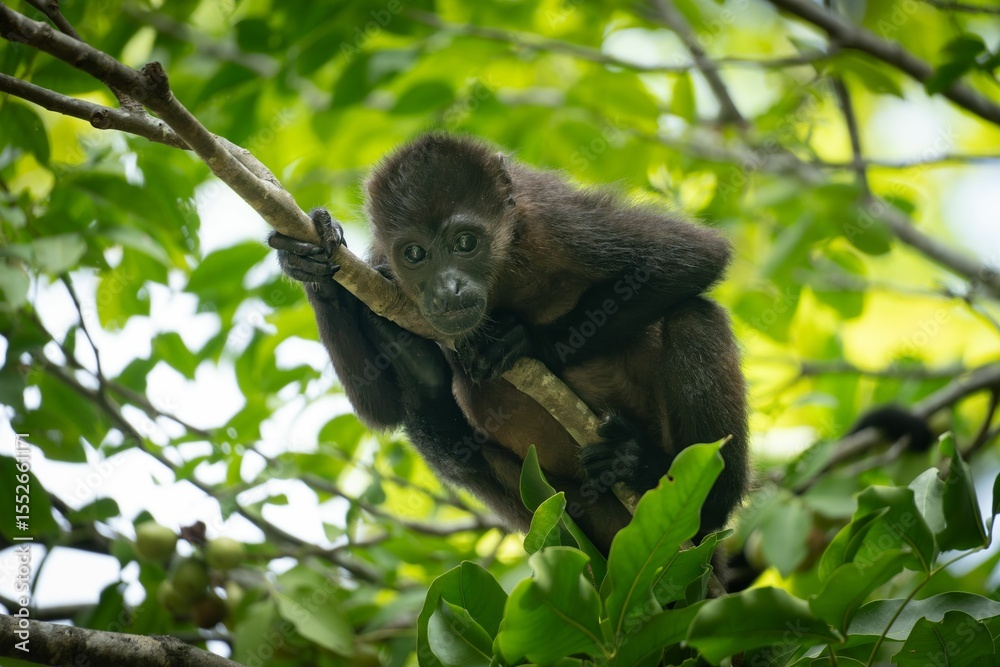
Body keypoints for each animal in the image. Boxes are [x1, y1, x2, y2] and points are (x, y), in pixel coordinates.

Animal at [268, 133, 749, 555]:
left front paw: (526, 342)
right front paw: (311, 264)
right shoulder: (381, 265)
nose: (447, 289)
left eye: (465, 242)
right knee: (444, 448)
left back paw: (655, 471)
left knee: (693, 317)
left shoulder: (553, 218)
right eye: (415, 254)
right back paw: (422, 373)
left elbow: (695, 255)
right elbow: (380, 408)